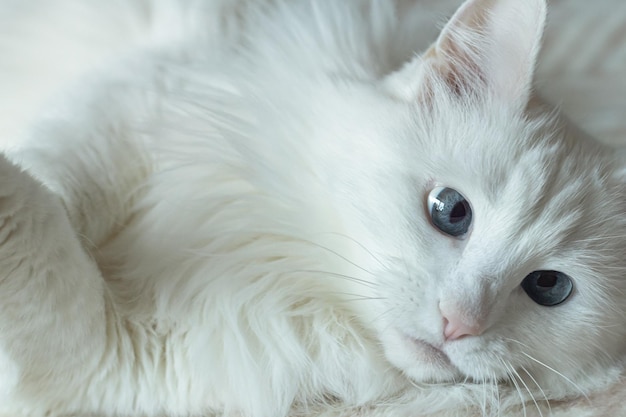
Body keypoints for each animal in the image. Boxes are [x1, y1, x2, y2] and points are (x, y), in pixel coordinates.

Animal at [1, 0, 624, 416]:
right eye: (451, 210)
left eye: (549, 287)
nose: (457, 323)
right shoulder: (146, 91)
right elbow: (52, 182)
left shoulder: (116, 366)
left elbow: (39, 237)